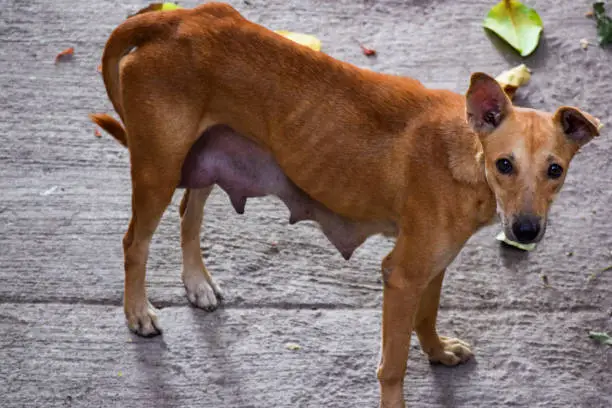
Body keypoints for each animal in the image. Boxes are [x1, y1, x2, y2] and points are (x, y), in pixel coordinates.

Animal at [88, 3, 600, 408]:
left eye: (555, 171)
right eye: (504, 164)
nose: (527, 231)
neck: (465, 152)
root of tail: (176, 18)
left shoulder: (432, 266)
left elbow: (427, 316)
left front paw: (436, 352)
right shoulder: (402, 275)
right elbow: (392, 366)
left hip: (206, 157)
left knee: (188, 214)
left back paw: (196, 282)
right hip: (158, 169)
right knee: (135, 242)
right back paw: (138, 312)